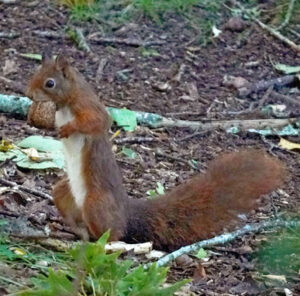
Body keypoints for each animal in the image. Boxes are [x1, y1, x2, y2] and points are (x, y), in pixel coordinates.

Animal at [27, 53, 288, 250]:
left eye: (50, 83)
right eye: (35, 74)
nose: (28, 94)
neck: (66, 102)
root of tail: (126, 213)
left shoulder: (88, 106)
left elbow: (98, 122)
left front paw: (68, 128)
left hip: (96, 202)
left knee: (112, 234)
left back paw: (103, 243)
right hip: (64, 192)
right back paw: (71, 230)